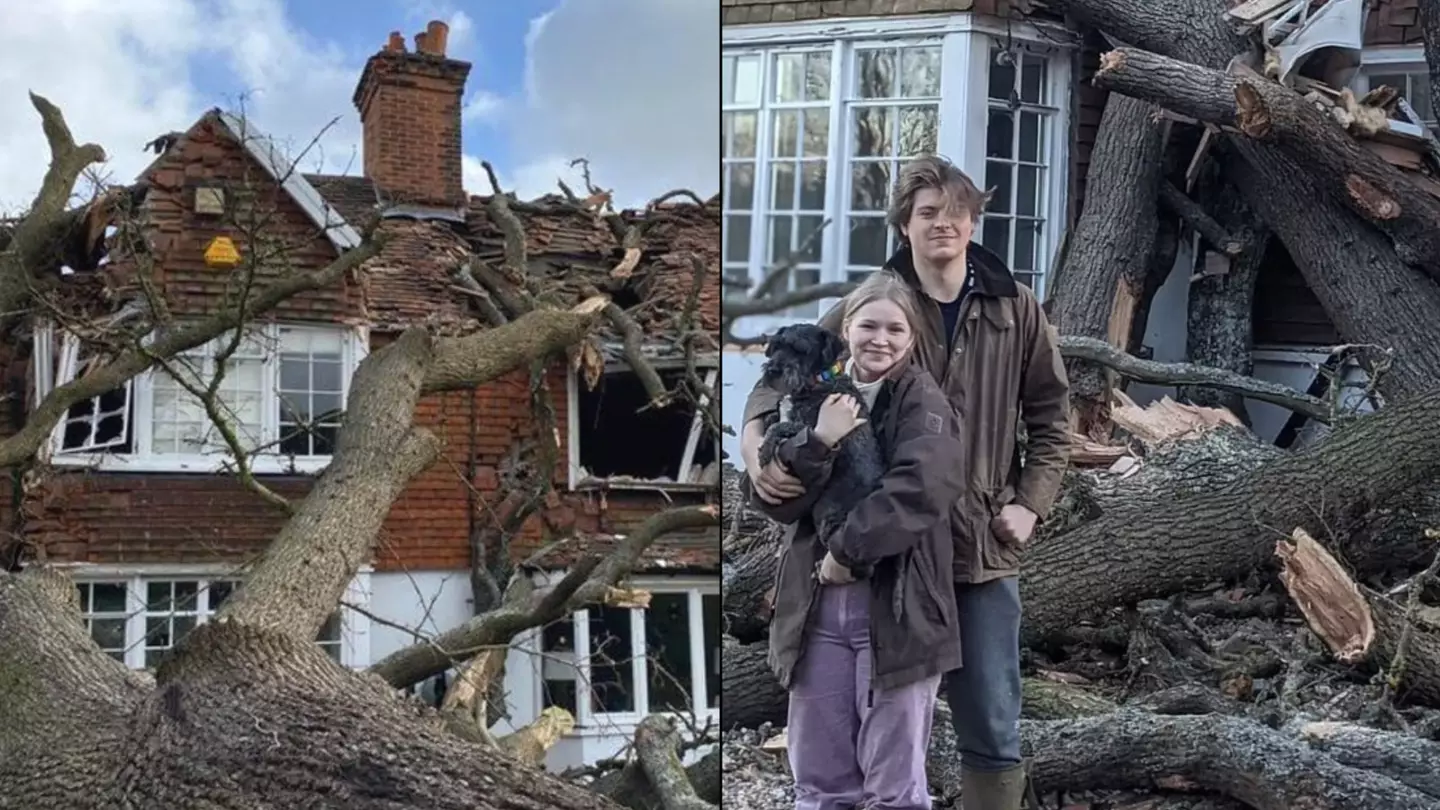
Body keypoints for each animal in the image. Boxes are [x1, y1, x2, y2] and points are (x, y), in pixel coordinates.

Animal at [760, 318, 881, 570]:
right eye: (777, 346)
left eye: (801, 350)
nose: (774, 370)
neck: (819, 380)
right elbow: (773, 419)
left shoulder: (809, 427)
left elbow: (780, 426)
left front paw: (765, 450)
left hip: (827, 513)